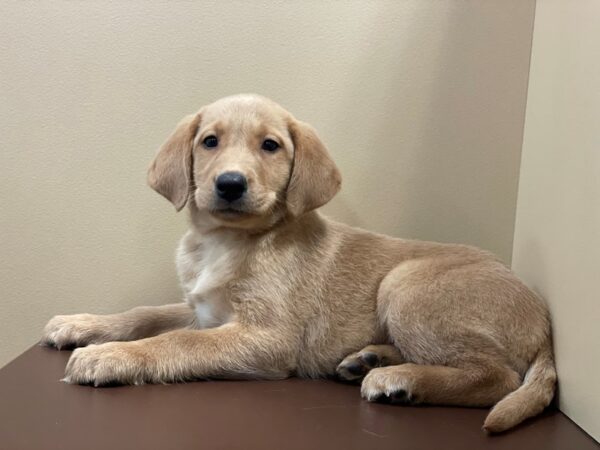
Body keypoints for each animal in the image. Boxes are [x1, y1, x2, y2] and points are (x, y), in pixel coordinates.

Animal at [42, 94, 556, 432]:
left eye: (270, 146)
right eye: (209, 141)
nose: (230, 184)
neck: (226, 241)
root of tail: (543, 321)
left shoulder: (267, 337)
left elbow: (177, 342)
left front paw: (111, 356)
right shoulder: (202, 308)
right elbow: (145, 314)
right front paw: (82, 325)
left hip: (404, 283)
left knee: (497, 377)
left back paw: (399, 378)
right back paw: (369, 359)